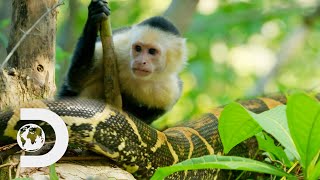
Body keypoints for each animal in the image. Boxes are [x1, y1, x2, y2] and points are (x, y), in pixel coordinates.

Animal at [59, 0, 188, 124]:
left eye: (152, 51)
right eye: (138, 48)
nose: (141, 61)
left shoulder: (170, 91)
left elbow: (148, 117)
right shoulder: (116, 47)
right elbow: (77, 81)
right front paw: (94, 16)